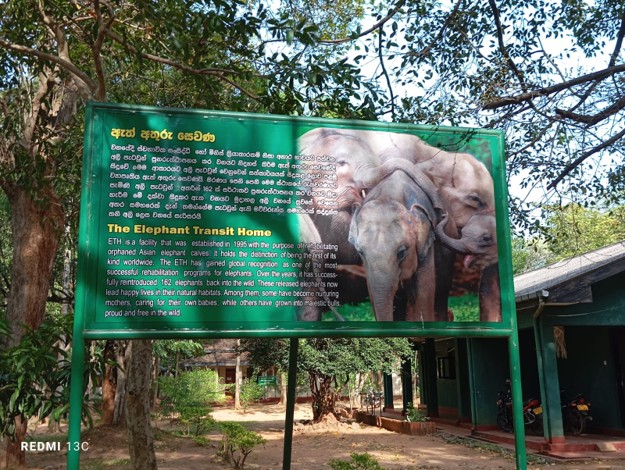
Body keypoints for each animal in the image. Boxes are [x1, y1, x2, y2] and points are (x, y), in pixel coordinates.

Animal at [348, 169, 455, 322]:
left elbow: (424, 292)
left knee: (441, 292)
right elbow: (373, 292)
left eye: (402, 252)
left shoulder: (426, 247)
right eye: (360, 252)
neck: (390, 195)